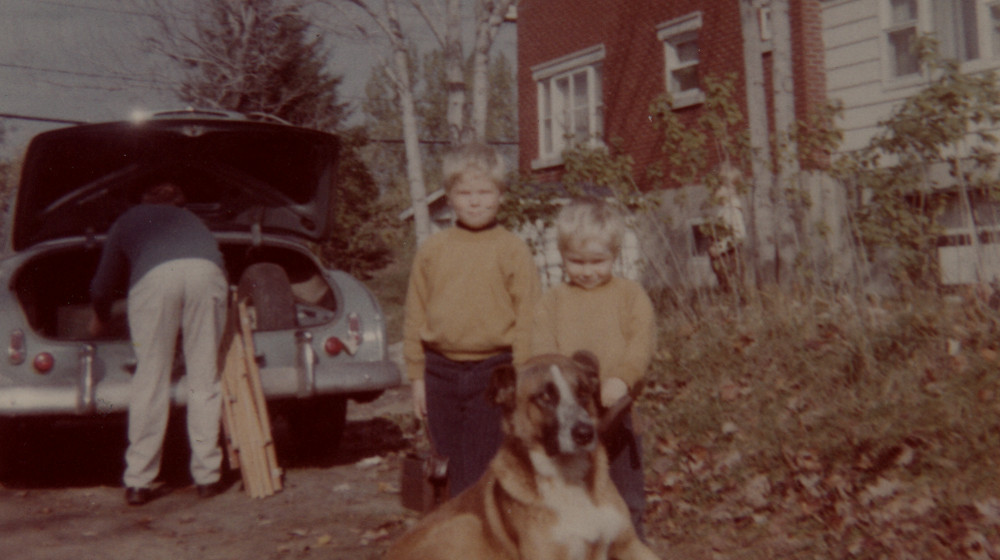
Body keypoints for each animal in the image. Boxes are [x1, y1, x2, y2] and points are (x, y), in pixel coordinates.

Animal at [386, 352, 660, 556]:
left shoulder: (630, 546)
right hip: (468, 524)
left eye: (583, 392)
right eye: (545, 396)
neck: (568, 476)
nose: (585, 433)